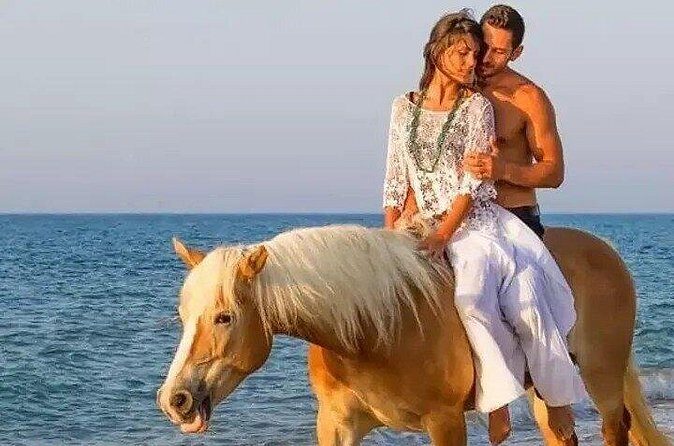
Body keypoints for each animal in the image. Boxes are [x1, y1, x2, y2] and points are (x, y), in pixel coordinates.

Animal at [156, 223, 670, 446]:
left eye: (224, 317)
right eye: (182, 315)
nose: (174, 399)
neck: (374, 331)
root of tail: (605, 250)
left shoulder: (445, 423)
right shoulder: (337, 424)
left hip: (602, 377)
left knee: (615, 425)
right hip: (546, 388)